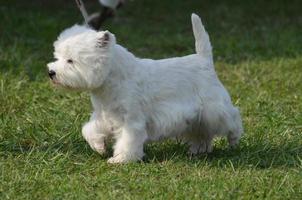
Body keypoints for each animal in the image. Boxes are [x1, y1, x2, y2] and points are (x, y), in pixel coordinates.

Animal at [47, 13, 243, 163]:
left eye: (71, 60)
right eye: (58, 56)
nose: (51, 72)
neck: (111, 79)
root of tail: (204, 59)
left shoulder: (131, 119)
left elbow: (127, 140)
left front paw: (121, 159)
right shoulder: (104, 115)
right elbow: (89, 129)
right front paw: (99, 147)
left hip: (213, 108)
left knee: (232, 116)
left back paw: (234, 140)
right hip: (197, 117)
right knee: (203, 132)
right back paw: (198, 150)